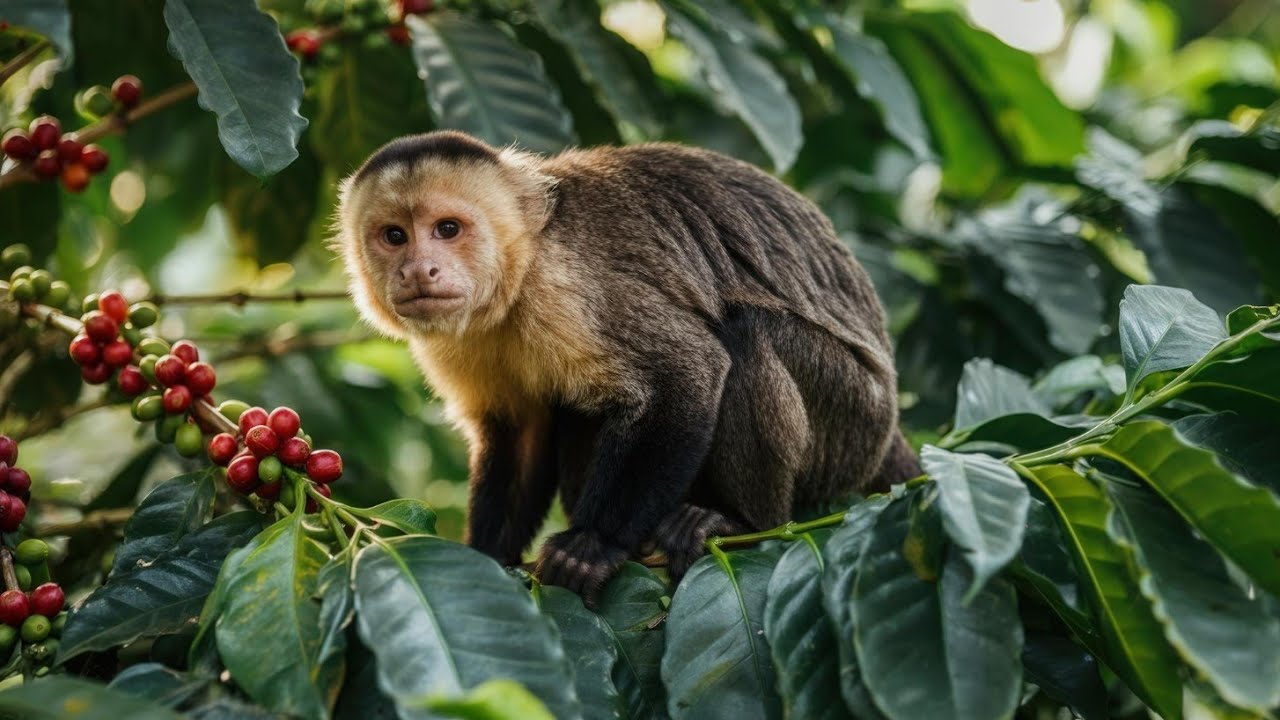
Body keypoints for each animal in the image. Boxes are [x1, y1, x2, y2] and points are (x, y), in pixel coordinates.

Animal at [333, 130, 921, 603]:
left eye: (448, 229)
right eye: (394, 236)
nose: (418, 271)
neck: (519, 273)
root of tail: (888, 427)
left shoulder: (568, 285)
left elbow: (688, 372)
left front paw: (592, 545)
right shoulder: (459, 340)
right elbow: (520, 433)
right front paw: (486, 562)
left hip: (852, 426)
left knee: (747, 335)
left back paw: (739, 521)